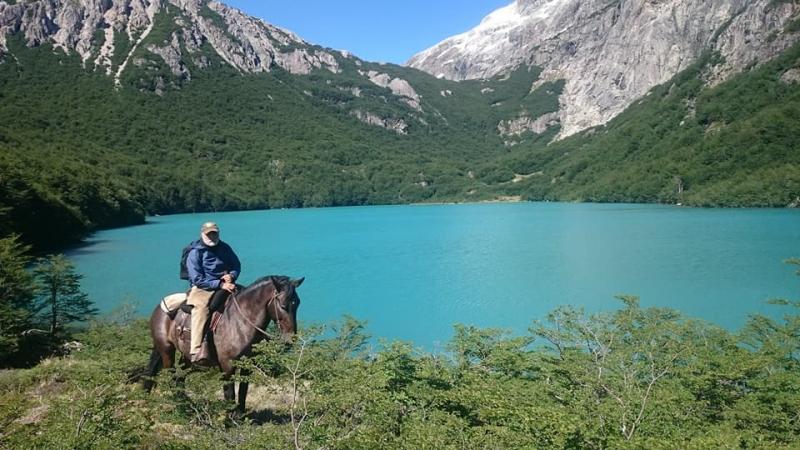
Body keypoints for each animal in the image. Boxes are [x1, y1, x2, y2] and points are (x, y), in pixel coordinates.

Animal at [142, 272, 302, 414]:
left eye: (297, 304)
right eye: (283, 305)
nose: (291, 339)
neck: (239, 322)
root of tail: (160, 307)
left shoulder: (247, 364)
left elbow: (243, 390)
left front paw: (240, 416)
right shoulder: (227, 365)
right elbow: (229, 393)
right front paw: (229, 419)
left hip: (187, 357)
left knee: (179, 377)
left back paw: (187, 405)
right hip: (166, 350)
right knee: (171, 376)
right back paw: (181, 407)